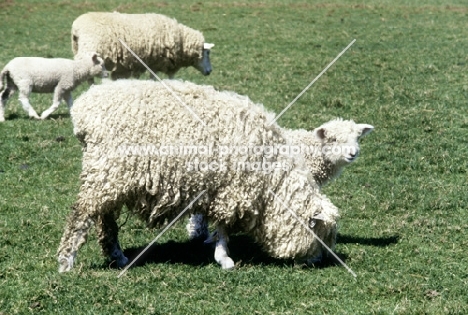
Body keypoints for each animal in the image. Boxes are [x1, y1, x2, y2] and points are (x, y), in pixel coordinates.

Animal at [55, 79, 354, 274]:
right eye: (320, 235)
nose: (318, 262)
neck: (274, 180)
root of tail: (85, 107)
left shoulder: (225, 190)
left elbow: (219, 225)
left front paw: (217, 251)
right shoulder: (233, 190)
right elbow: (224, 227)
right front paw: (224, 259)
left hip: (111, 177)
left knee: (105, 220)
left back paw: (117, 257)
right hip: (106, 172)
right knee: (81, 215)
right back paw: (66, 262)